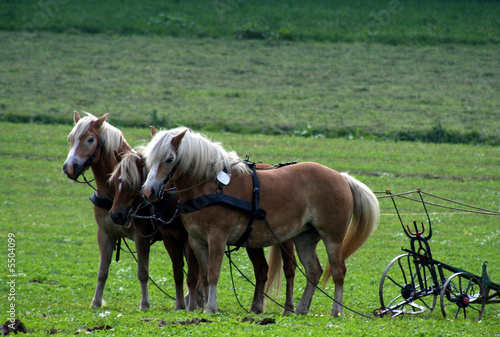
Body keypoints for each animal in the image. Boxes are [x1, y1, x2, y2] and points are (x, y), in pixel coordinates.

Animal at [63, 111, 155, 308]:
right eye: (70, 138)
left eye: (91, 139)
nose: (69, 167)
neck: (114, 194)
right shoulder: (105, 233)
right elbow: (102, 271)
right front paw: (96, 302)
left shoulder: (141, 238)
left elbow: (143, 272)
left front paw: (144, 304)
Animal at [109, 146, 296, 314]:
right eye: (115, 182)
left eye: (133, 183)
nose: (116, 215)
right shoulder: (171, 240)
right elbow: (179, 273)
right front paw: (182, 305)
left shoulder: (189, 240)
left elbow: (193, 275)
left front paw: (193, 305)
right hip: (252, 239)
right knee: (261, 269)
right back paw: (255, 307)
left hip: (283, 237)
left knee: (289, 268)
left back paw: (288, 307)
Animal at [141, 126, 378, 316]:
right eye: (148, 159)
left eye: (169, 159)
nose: (148, 190)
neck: (210, 185)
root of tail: (341, 177)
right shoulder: (196, 241)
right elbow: (204, 275)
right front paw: (206, 305)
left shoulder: (217, 238)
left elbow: (213, 273)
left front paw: (210, 307)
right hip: (305, 238)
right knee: (314, 271)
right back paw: (301, 309)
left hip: (332, 238)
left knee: (338, 272)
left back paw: (336, 311)